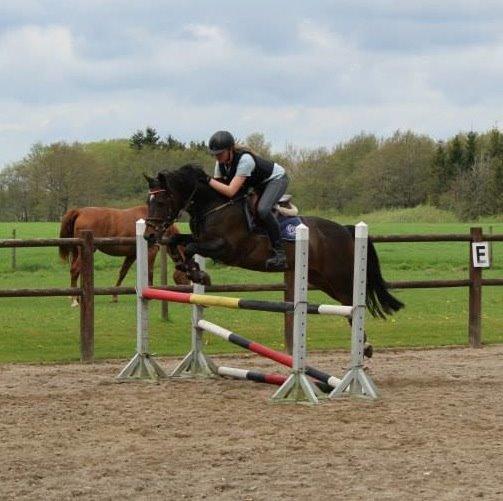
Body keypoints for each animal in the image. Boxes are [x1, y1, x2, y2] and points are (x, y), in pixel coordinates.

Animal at [57, 203, 191, 304]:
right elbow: (149, 271)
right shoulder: (151, 252)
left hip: (76, 250)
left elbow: (123, 273)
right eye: (186, 275)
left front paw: (115, 295)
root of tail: (79, 211)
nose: (189, 290)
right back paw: (74, 300)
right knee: (75, 270)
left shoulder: (132, 255)